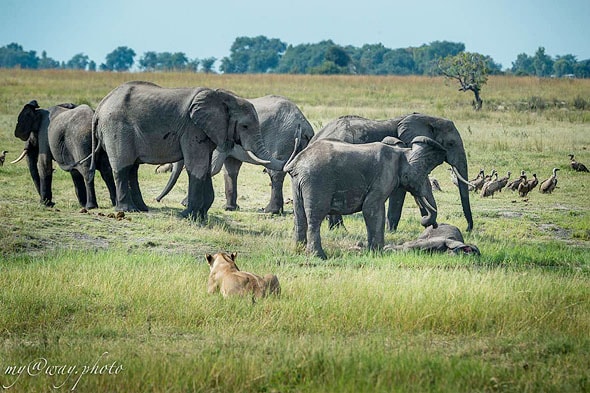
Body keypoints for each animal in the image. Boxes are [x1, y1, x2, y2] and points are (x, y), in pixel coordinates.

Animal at [90, 80, 286, 220]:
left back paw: (142, 209)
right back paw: (128, 210)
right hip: (116, 127)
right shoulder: (193, 128)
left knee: (133, 169)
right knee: (123, 167)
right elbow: (197, 167)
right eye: (245, 126)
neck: (223, 98)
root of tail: (100, 106)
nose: (158, 200)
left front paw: (201, 215)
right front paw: (187, 215)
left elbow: (205, 168)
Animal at [155, 94, 316, 213]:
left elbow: (212, 168)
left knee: (274, 173)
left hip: (282, 139)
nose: (157, 199)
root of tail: (304, 124)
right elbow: (231, 169)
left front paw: (184, 203)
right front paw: (229, 208)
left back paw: (270, 211)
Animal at [286, 136, 448, 258]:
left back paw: (298, 252)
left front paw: (372, 252)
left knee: (299, 217)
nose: (433, 224)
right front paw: (378, 254)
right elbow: (371, 207)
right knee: (315, 217)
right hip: (317, 180)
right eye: (425, 175)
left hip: (298, 182)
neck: (402, 152)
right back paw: (319, 256)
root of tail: (297, 161)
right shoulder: (384, 175)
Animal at [312, 112, 474, 231]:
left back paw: (336, 229)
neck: (430, 118)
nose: (468, 229)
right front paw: (391, 231)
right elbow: (400, 191)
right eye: (450, 144)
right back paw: (340, 230)